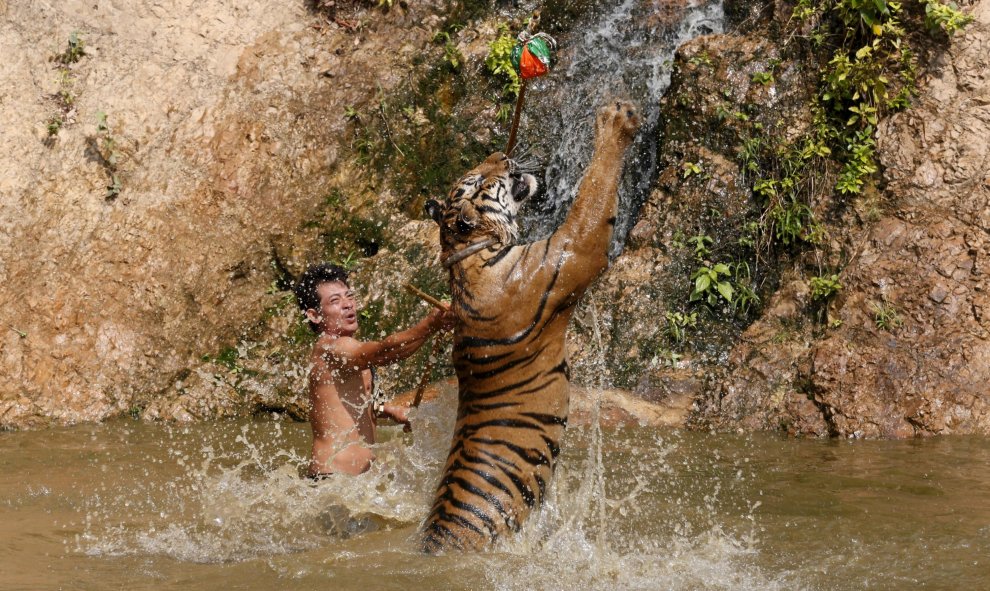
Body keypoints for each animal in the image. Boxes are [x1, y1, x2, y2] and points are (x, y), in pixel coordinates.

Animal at [420, 99, 644, 552]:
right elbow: (593, 197)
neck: (469, 256)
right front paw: (615, 121)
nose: (500, 154)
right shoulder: (572, 250)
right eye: (478, 179)